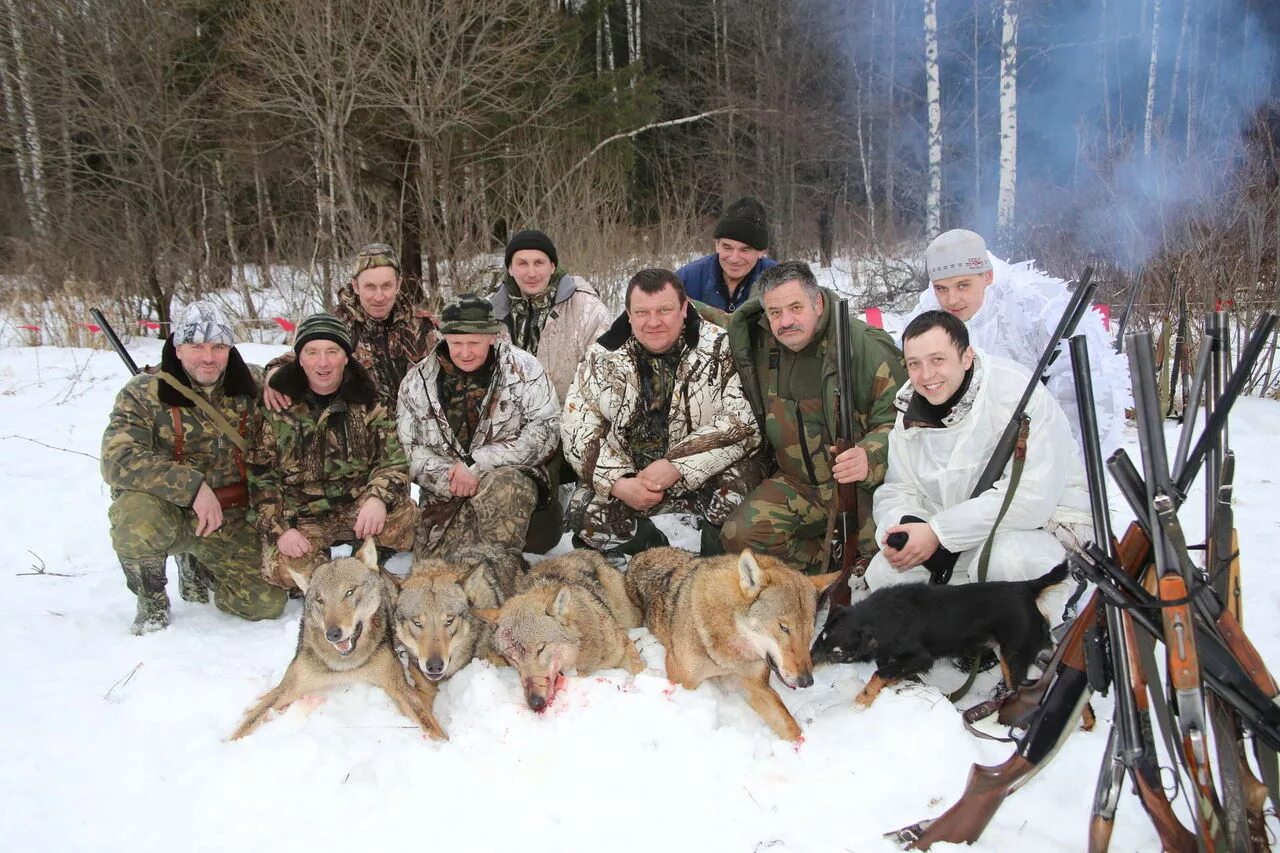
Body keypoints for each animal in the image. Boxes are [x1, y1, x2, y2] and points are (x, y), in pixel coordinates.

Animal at [229, 537, 445, 737]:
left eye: (349, 592)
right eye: (320, 600)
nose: (333, 634)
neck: (345, 665)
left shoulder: (399, 687)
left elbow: (434, 729)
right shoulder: (287, 688)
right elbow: (248, 723)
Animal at [476, 545, 645, 712]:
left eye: (541, 649)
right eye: (513, 658)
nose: (535, 702)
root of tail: (589, 551)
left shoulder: (623, 646)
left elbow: (639, 669)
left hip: (630, 617)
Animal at [622, 545, 839, 737]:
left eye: (810, 633)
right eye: (784, 628)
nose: (807, 682)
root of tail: (640, 554)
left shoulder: (758, 686)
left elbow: (791, 727)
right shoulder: (683, 682)